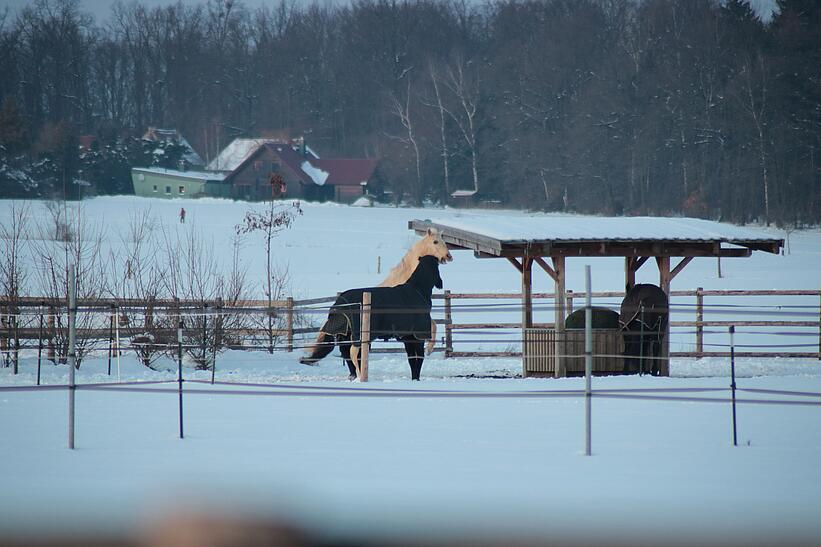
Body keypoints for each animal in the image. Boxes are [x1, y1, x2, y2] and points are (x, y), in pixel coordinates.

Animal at [298, 256, 442, 382]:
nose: (440, 283)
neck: (419, 290)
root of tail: (339, 303)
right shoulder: (418, 336)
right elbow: (419, 357)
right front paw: (418, 374)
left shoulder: (409, 338)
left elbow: (412, 359)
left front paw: (414, 378)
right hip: (359, 337)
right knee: (354, 354)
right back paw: (360, 375)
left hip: (345, 336)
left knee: (348, 355)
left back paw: (354, 376)